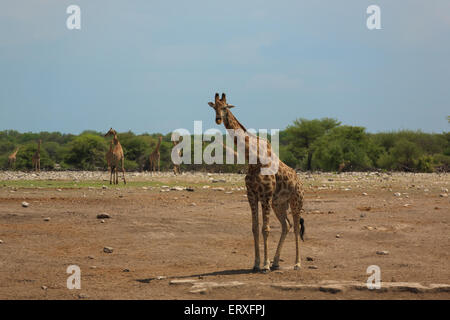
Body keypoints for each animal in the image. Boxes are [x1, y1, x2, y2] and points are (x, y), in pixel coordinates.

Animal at [208, 92, 306, 272]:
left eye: (225, 107)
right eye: (214, 107)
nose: (218, 119)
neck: (253, 159)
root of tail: (300, 181)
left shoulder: (265, 196)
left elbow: (265, 229)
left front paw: (265, 265)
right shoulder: (252, 195)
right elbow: (254, 228)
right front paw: (256, 264)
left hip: (296, 201)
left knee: (296, 227)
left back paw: (297, 263)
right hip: (279, 204)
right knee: (286, 225)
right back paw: (276, 262)